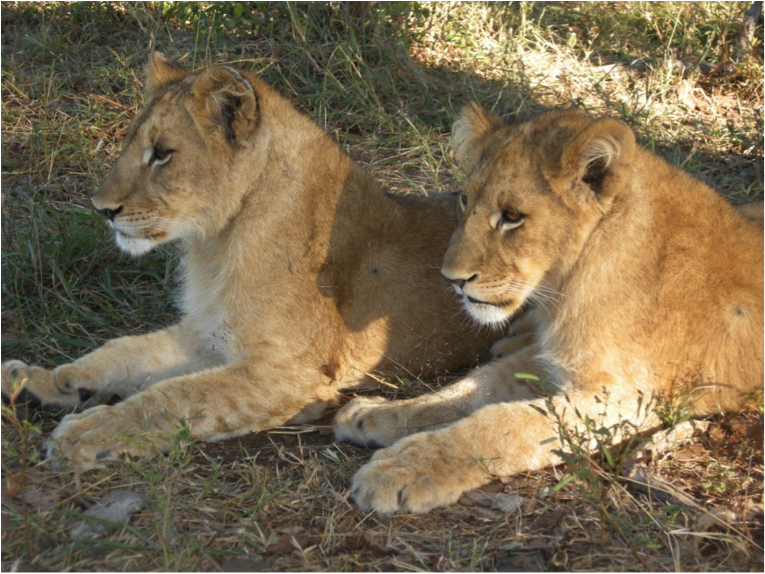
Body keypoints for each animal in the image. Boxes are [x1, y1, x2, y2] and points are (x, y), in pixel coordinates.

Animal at [0, 53, 501, 463]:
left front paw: (88, 432)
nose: (101, 209)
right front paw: (39, 381)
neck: (216, 243)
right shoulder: (206, 335)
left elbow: (174, 397)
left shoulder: (292, 374)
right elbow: (117, 353)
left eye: (161, 153)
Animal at [334, 105, 764, 515]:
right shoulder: (554, 361)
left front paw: (402, 471)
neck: (566, 282)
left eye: (512, 216)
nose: (452, 279)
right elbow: (470, 388)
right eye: (464, 200)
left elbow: (502, 424)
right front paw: (377, 414)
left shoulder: (628, 399)